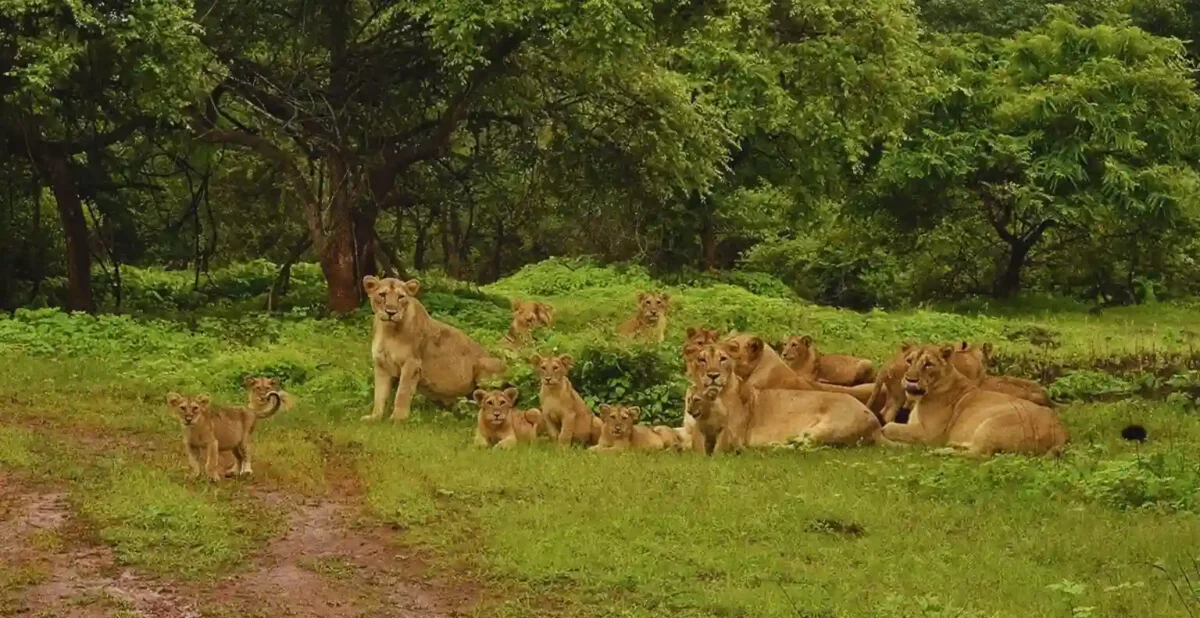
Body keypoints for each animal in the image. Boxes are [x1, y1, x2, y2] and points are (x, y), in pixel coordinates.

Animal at [357, 278, 504, 422]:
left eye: (400, 297)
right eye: (382, 295)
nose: (391, 312)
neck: (388, 331)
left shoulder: (412, 363)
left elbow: (402, 392)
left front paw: (397, 419)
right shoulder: (381, 364)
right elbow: (379, 394)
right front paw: (374, 417)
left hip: (487, 367)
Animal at [691, 345, 878, 456]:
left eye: (723, 359)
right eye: (702, 360)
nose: (712, 375)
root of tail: (876, 424)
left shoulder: (734, 434)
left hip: (829, 428)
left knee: (806, 446)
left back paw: (768, 447)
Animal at [883, 343, 1070, 458]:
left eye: (928, 364)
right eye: (909, 361)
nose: (910, 380)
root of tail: (1062, 433)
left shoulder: (929, 434)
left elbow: (890, 426)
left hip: (994, 422)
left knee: (982, 454)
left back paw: (940, 452)